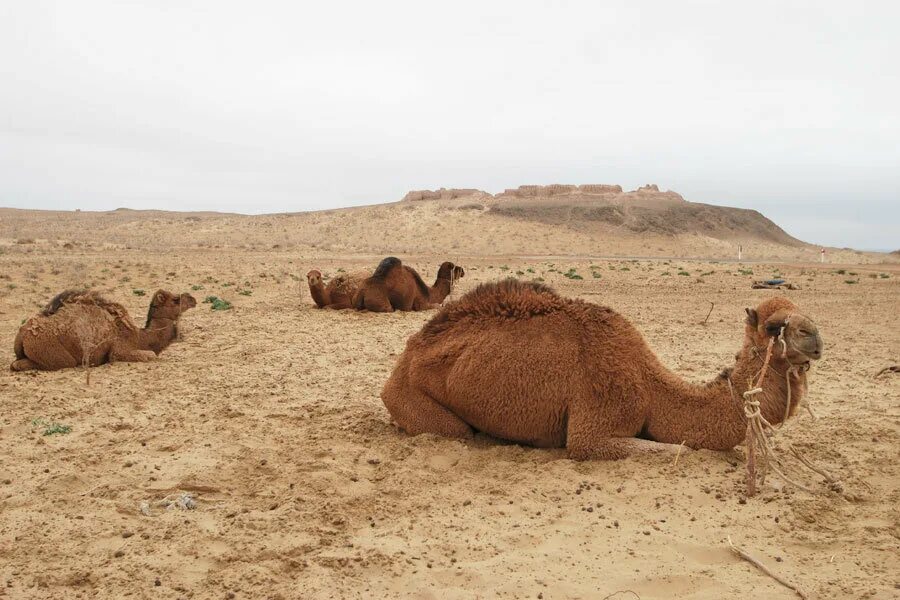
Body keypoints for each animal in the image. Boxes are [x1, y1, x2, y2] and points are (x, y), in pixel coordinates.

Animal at [11, 290, 197, 372]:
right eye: (175, 300)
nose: (193, 299)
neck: (139, 336)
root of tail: (23, 334)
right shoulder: (119, 349)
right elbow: (150, 355)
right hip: (53, 352)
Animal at [380, 280, 824, 460]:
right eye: (774, 327)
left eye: (806, 316)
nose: (814, 337)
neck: (649, 384)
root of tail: (408, 351)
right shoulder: (595, 423)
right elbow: (677, 448)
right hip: (409, 397)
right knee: (456, 431)